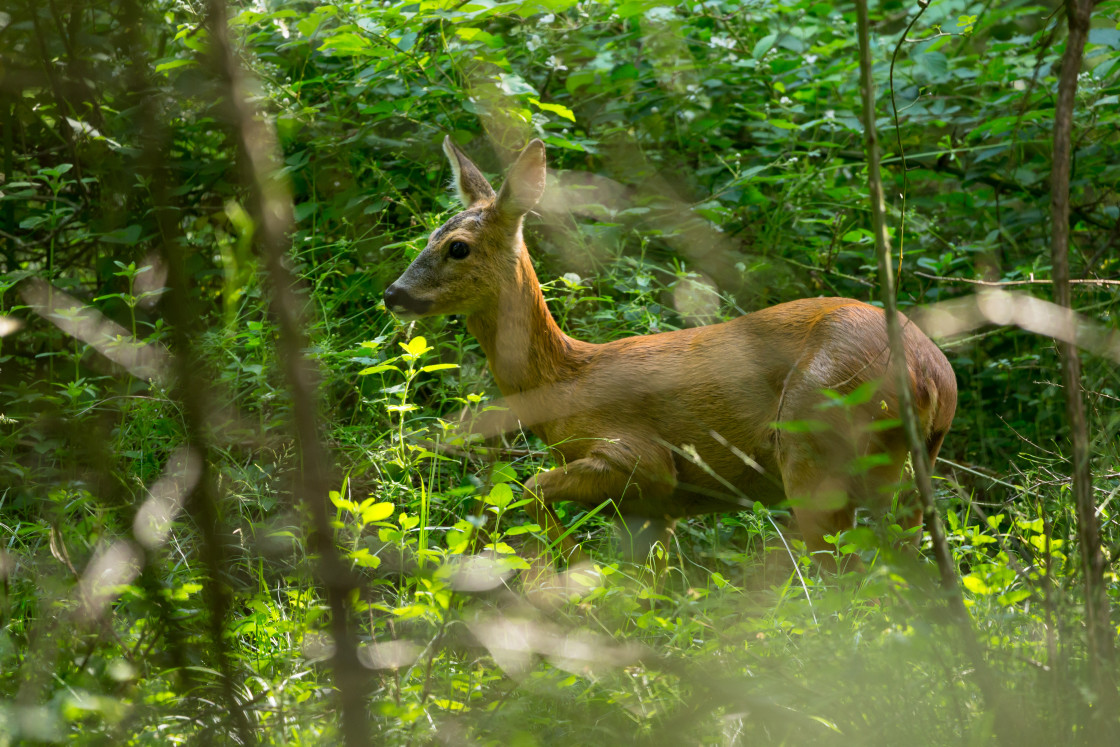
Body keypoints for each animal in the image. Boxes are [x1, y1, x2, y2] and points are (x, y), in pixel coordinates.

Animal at [383, 138, 954, 573]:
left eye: (457, 247)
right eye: (428, 236)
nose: (393, 294)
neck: (569, 380)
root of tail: (932, 376)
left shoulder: (641, 458)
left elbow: (533, 485)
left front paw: (571, 580)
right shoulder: (655, 509)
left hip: (813, 439)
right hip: (908, 459)